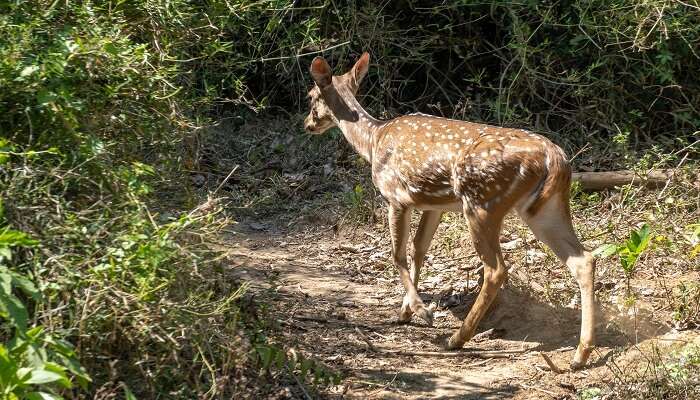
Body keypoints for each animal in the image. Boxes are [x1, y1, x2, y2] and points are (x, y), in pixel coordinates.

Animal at [303, 52, 596, 369]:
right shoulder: (433, 205)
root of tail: (555, 158)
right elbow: (419, 248)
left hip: (483, 202)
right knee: (584, 259)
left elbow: (397, 254)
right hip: (544, 209)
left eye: (311, 96)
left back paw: (458, 338)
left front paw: (421, 311)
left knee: (496, 269)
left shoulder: (396, 196)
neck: (373, 141)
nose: (307, 124)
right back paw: (580, 354)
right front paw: (405, 311)